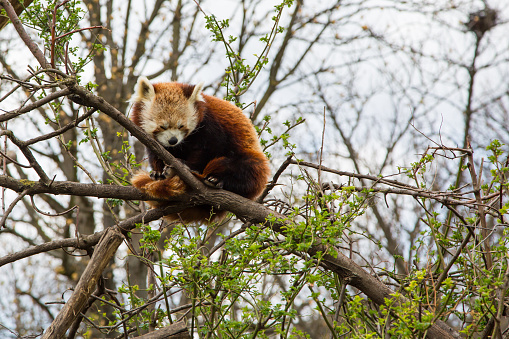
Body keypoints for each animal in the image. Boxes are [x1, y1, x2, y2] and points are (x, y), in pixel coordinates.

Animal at [130, 77, 270, 224]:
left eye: (181, 126)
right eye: (163, 126)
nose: (173, 140)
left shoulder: (211, 126)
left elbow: (210, 149)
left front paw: (188, 165)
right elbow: (155, 154)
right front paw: (157, 173)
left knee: (246, 167)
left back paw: (216, 179)